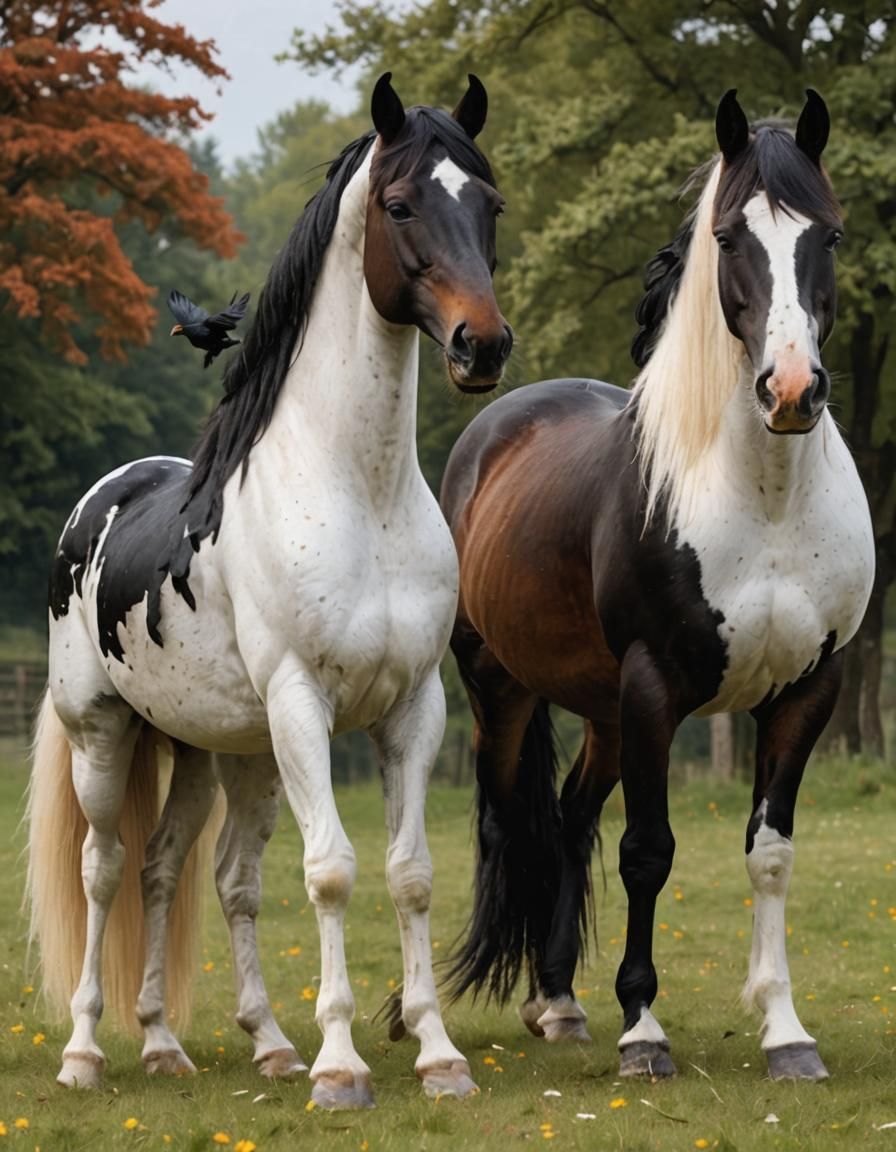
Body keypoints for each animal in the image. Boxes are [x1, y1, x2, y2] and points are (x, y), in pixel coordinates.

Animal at [26, 72, 512, 1110]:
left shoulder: (413, 711)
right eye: (400, 205)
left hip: (217, 751)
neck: (357, 488)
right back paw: (86, 1051)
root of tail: (100, 499)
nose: (481, 344)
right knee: (103, 870)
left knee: (186, 872)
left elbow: (410, 874)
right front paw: (341, 1067)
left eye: (488, 204)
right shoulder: (302, 705)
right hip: (106, 737)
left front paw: (437, 1054)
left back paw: (196, 1043)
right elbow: (330, 872)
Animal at [439, 89, 874, 1082]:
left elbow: (770, 855)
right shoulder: (653, 687)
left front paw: (786, 1031)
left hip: (601, 711)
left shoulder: (809, 689)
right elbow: (647, 853)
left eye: (828, 234)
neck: (763, 499)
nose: (791, 390)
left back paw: (560, 1000)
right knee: (509, 823)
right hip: (502, 689)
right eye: (729, 237)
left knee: (567, 819)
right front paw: (644, 1032)